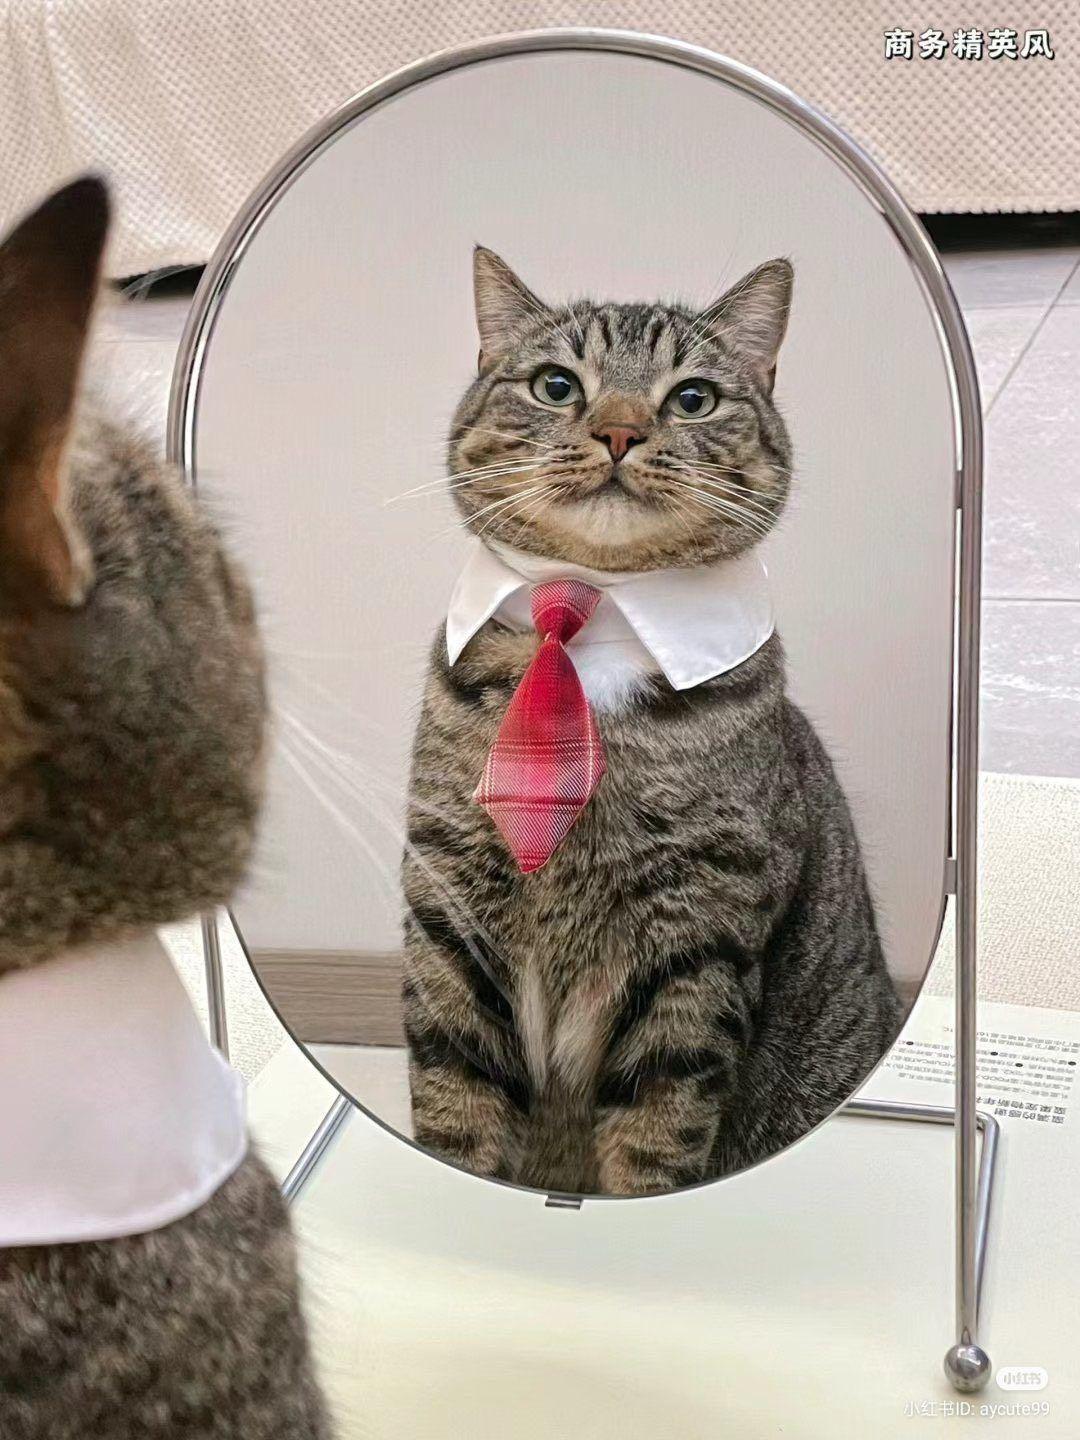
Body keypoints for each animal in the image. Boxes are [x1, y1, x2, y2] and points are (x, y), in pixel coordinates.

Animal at [403, 244, 898, 1192]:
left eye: (693, 397)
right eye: (557, 385)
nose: (621, 431)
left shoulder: (696, 943)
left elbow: (656, 1141)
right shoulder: (448, 910)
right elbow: (454, 1115)